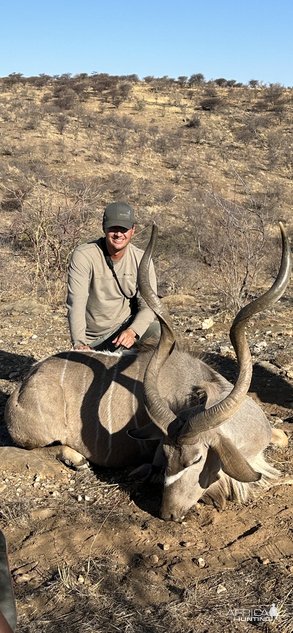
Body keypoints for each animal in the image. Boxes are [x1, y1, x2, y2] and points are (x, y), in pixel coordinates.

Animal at [3, 222, 290, 520]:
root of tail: (25, 383)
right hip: (36, 438)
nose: (168, 513)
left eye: (197, 458)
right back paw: (77, 458)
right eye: (164, 454)